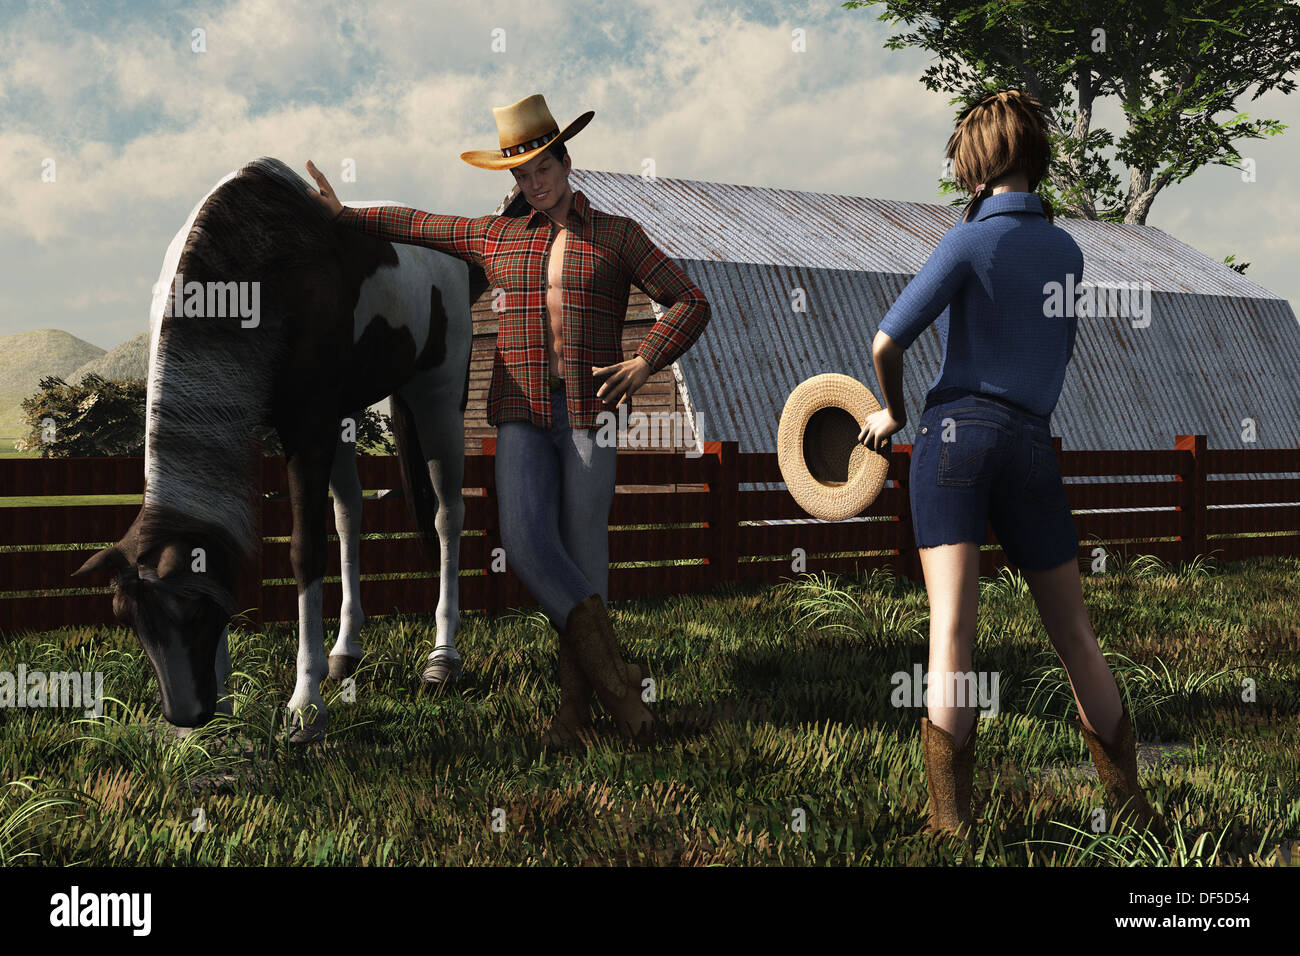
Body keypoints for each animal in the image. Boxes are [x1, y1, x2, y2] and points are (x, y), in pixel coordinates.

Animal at [72, 157, 488, 743]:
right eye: (127, 621)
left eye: (194, 617)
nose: (188, 716)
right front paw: (229, 706)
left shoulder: (306, 426)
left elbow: (303, 551)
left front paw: (304, 707)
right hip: (347, 414)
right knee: (350, 515)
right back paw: (346, 650)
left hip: (438, 395)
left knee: (448, 516)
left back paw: (442, 659)